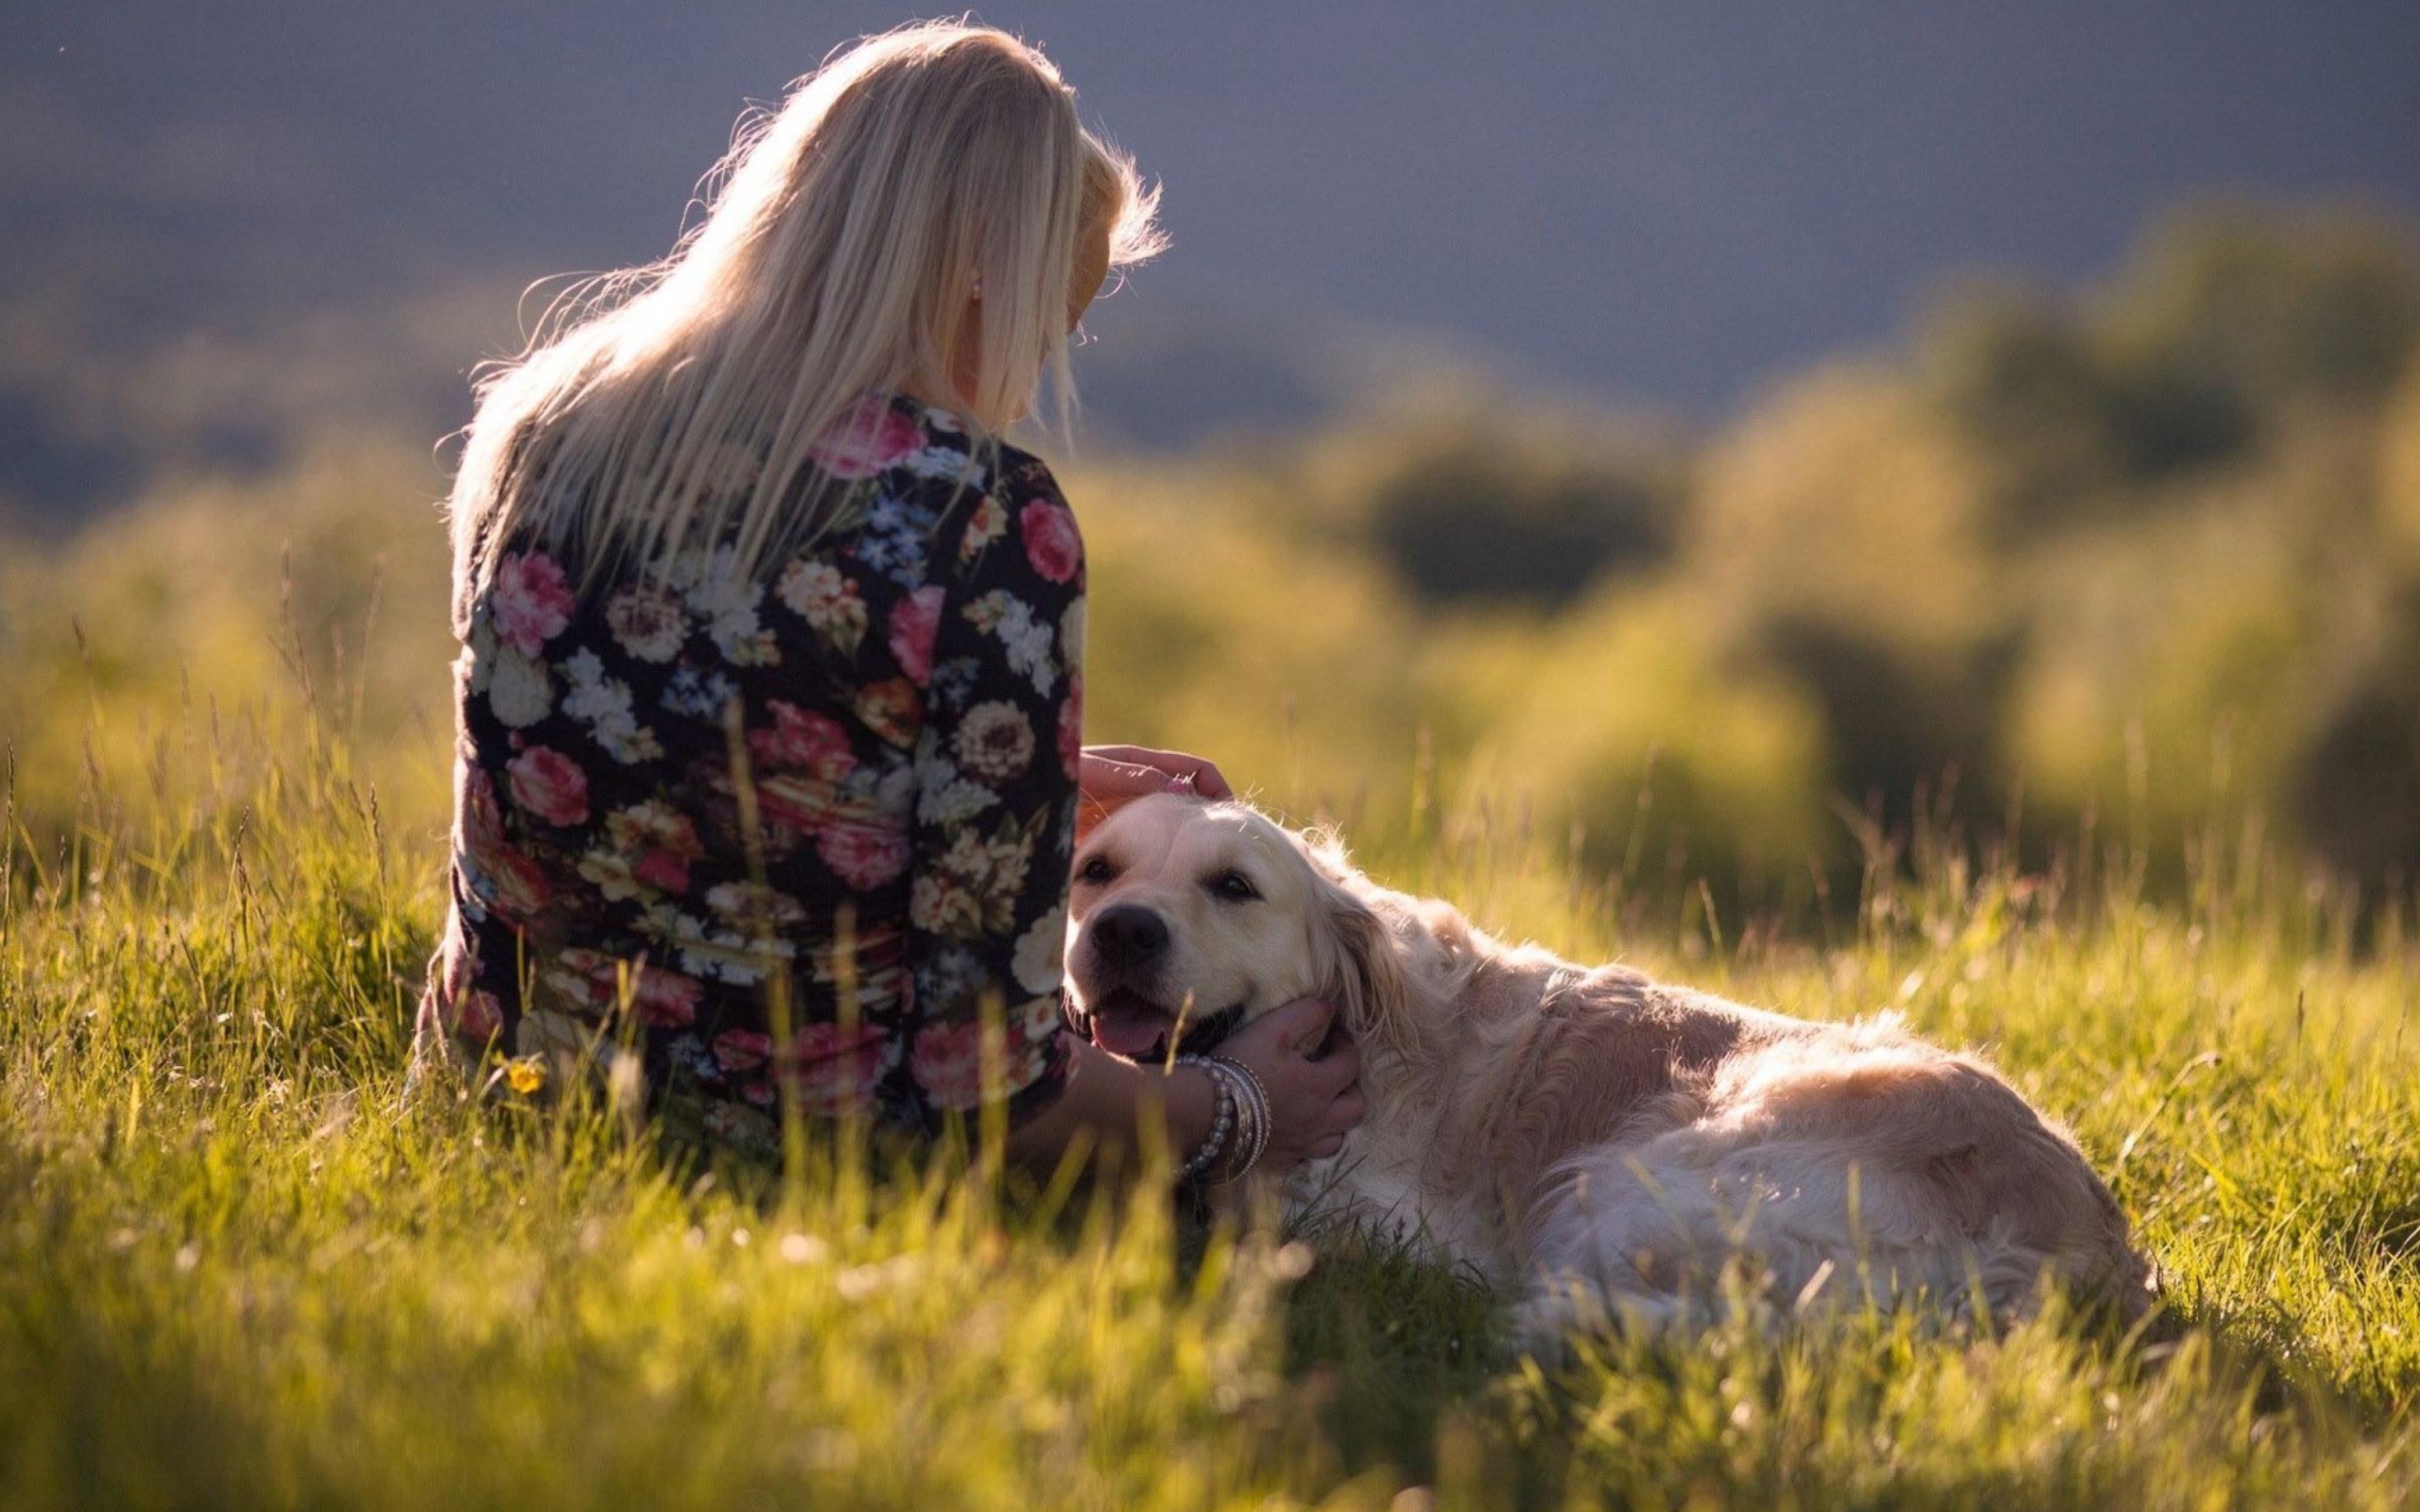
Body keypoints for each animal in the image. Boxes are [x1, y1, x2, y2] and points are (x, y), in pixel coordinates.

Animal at [1069, 798, 2149, 1325]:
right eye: (1094, 871)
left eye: (1235, 887)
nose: (1120, 931)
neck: (1366, 1031)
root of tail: (2085, 1245)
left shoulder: (1396, 1219)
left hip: (1632, 1184)